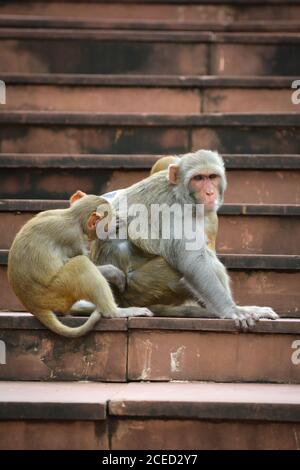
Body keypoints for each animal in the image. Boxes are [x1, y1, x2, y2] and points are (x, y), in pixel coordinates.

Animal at [7, 191, 152, 338]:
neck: (73, 217)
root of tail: (34, 306)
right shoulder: (73, 238)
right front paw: (114, 272)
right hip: (56, 291)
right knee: (80, 264)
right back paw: (114, 311)